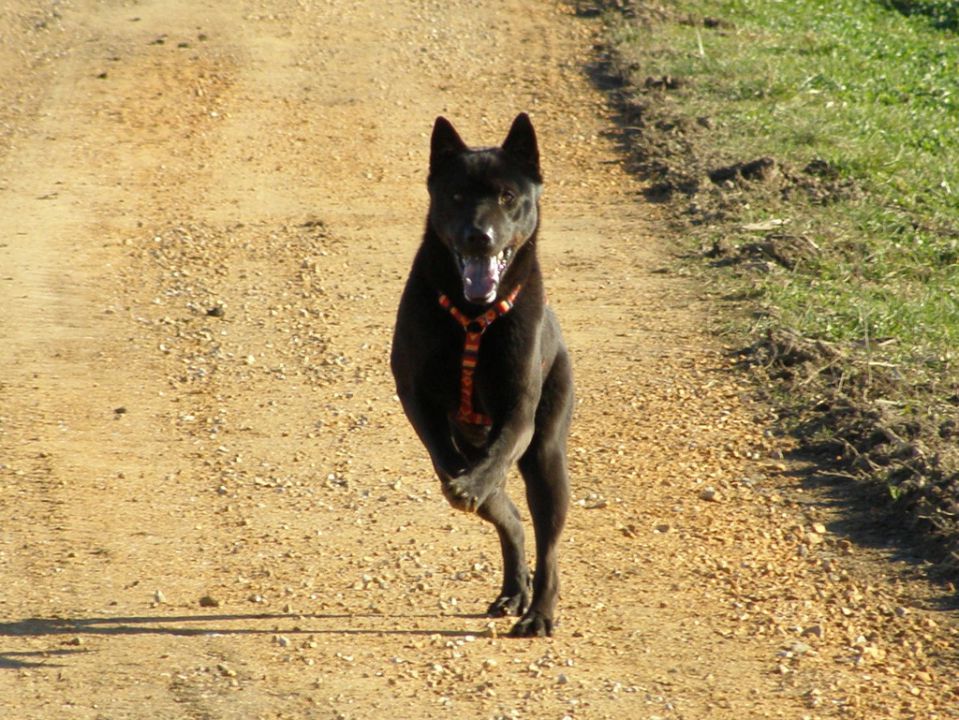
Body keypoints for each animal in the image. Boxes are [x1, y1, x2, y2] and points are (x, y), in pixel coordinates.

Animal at [388, 114, 568, 636]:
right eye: (455, 196)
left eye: (508, 196)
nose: (478, 237)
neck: (470, 315)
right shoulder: (415, 397)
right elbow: (450, 463)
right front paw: (466, 486)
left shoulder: (520, 412)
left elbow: (498, 456)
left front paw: (469, 486)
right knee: (513, 519)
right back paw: (515, 588)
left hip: (548, 455)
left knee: (548, 542)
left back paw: (539, 611)